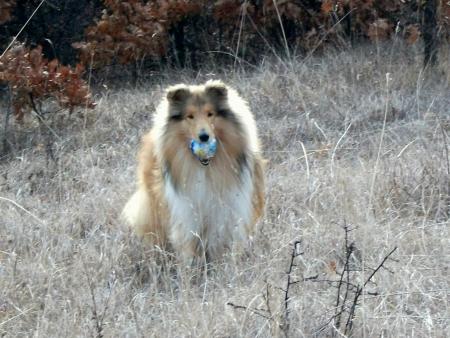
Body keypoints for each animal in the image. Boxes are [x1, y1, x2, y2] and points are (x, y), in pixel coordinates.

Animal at [121, 80, 266, 264]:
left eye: (210, 114)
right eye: (190, 116)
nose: (203, 137)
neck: (205, 168)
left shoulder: (224, 212)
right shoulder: (186, 213)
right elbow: (189, 245)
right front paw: (191, 267)